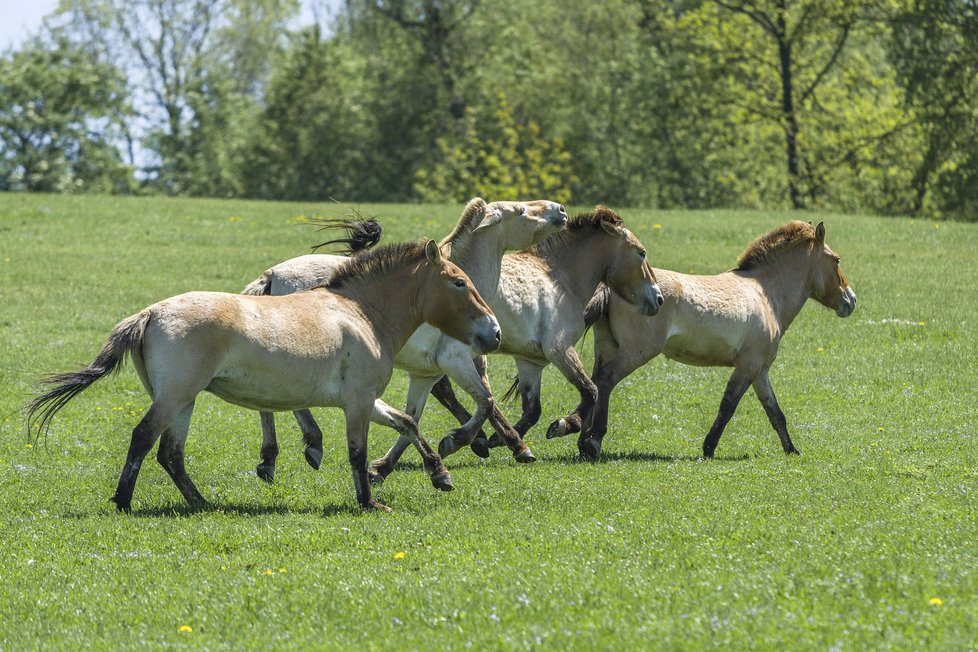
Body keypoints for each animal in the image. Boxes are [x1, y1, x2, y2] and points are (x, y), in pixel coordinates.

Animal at [26, 241, 500, 516]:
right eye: (459, 282)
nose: (493, 333)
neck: (361, 313)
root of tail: (151, 313)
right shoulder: (358, 402)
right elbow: (358, 453)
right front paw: (369, 501)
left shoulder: (365, 400)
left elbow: (407, 422)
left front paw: (440, 474)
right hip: (176, 396)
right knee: (144, 438)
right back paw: (124, 501)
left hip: (184, 400)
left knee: (170, 453)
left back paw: (202, 503)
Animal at [239, 199, 568, 484]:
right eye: (522, 210)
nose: (561, 210)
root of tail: (272, 274)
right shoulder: (457, 360)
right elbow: (486, 403)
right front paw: (480, 442)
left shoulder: (429, 371)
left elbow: (415, 416)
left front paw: (384, 468)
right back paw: (309, 444)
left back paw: (273, 457)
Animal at [426, 206, 664, 456]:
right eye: (641, 253)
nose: (658, 298)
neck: (559, 277)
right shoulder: (559, 349)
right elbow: (590, 391)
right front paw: (565, 424)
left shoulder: (531, 362)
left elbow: (533, 410)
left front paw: (505, 438)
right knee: (459, 391)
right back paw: (478, 439)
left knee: (449, 390)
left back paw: (488, 439)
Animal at [580, 222, 856, 460]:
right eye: (837, 260)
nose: (851, 300)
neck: (766, 293)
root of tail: (610, 287)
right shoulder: (748, 366)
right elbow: (728, 406)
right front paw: (708, 448)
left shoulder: (760, 371)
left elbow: (775, 412)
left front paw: (791, 450)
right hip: (636, 352)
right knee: (605, 380)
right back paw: (593, 441)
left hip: (606, 348)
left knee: (593, 384)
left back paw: (581, 441)